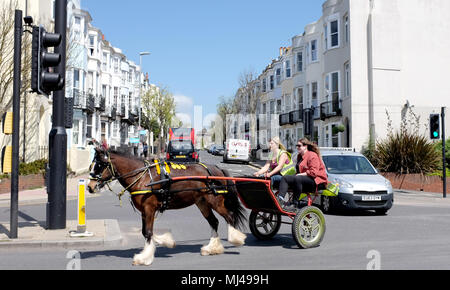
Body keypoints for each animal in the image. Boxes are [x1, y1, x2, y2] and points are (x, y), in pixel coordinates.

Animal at [85, 148, 246, 266]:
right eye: (93, 164)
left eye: (100, 165)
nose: (90, 187)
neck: (143, 176)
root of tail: (217, 169)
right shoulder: (144, 211)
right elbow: (145, 232)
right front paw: (166, 241)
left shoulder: (149, 208)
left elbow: (148, 232)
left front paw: (144, 258)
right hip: (202, 202)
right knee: (214, 222)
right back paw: (212, 248)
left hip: (215, 201)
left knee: (229, 217)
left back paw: (235, 239)